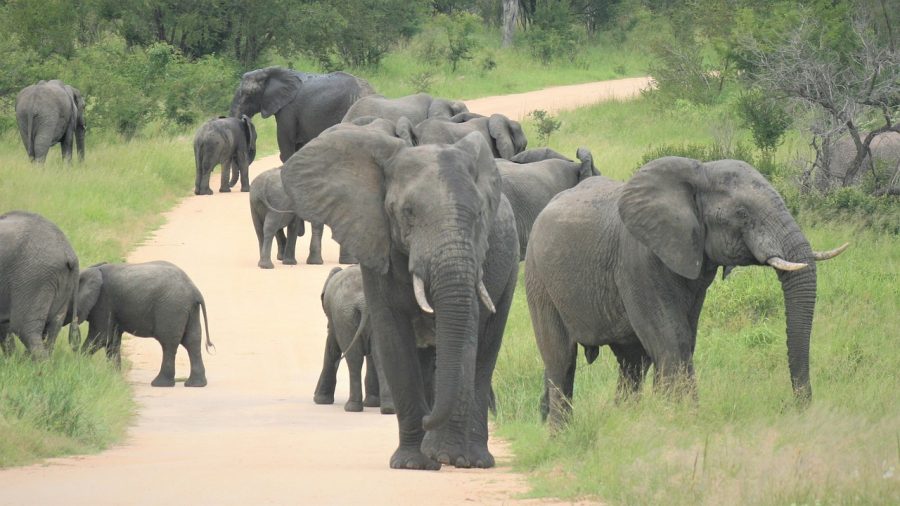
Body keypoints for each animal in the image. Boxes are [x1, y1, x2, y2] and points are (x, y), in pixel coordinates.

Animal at [71, 261, 213, 387]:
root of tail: (195, 291)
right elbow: (112, 341)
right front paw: (114, 378)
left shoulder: (103, 302)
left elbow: (101, 337)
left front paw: (79, 366)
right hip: (189, 310)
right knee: (192, 341)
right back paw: (196, 384)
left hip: (171, 308)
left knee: (168, 343)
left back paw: (160, 384)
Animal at [314, 265, 394, 414]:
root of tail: (364, 303)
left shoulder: (334, 319)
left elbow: (332, 347)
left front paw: (320, 400)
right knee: (379, 356)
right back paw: (387, 409)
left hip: (344, 317)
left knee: (354, 358)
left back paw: (352, 408)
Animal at [525, 157, 848, 427]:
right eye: (742, 213)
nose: (794, 406)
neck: (698, 171)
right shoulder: (637, 261)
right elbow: (672, 339)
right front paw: (681, 421)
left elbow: (684, 340)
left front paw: (674, 417)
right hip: (538, 279)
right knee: (561, 361)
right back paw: (562, 436)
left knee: (632, 363)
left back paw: (624, 419)